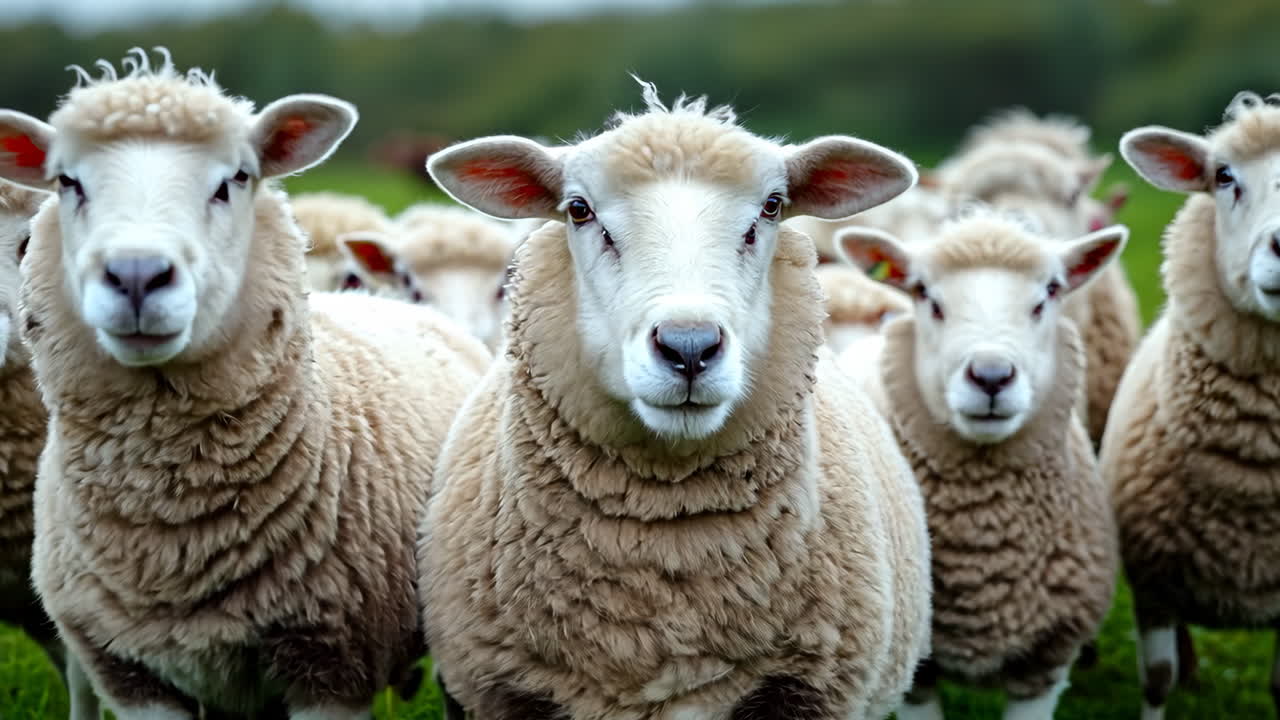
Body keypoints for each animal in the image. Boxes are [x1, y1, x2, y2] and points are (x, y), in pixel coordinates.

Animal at [0, 48, 489, 720]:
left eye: (235, 178)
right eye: (66, 182)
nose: (137, 275)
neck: (173, 528)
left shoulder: (331, 665)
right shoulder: (131, 673)